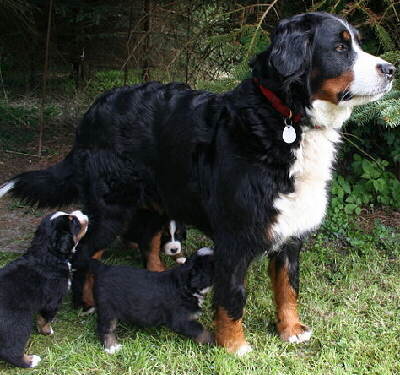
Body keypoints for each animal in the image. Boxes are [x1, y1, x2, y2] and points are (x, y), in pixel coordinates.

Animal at [0, 210, 88, 368]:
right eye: (74, 221)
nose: (81, 212)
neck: (47, 254)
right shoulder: (53, 300)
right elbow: (45, 318)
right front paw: (47, 331)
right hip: (17, 325)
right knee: (11, 351)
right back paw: (31, 361)